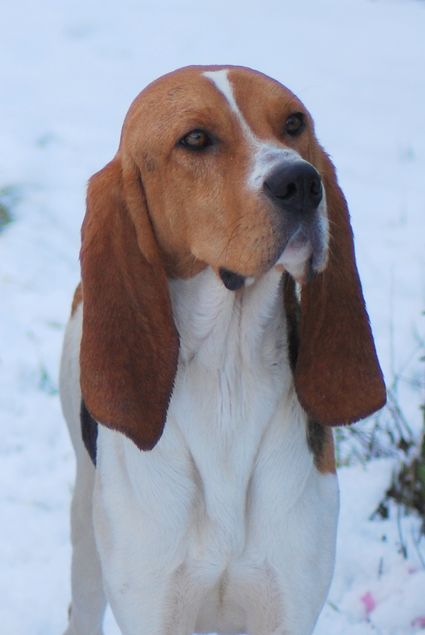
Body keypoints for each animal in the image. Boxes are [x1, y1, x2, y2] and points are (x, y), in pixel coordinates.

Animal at [58, 66, 384, 635]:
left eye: (294, 123)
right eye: (195, 139)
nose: (302, 182)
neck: (228, 373)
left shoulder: (288, 609)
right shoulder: (153, 609)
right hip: (85, 520)